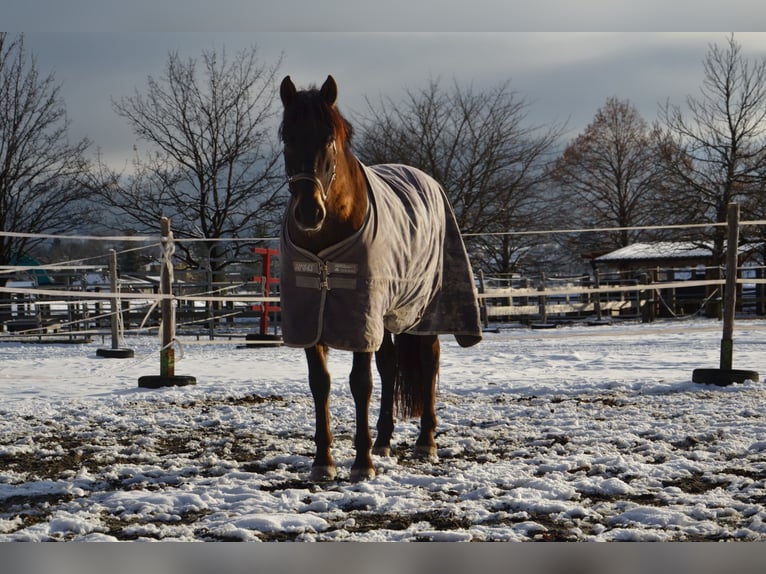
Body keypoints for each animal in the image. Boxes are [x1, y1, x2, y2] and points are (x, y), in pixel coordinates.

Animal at [278, 74, 480, 484]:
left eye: (328, 138)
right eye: (286, 137)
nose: (309, 212)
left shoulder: (360, 318)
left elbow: (361, 384)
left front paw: (362, 462)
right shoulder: (312, 318)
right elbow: (320, 384)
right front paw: (323, 461)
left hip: (423, 310)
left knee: (429, 361)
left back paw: (425, 442)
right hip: (387, 314)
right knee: (389, 366)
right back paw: (384, 440)